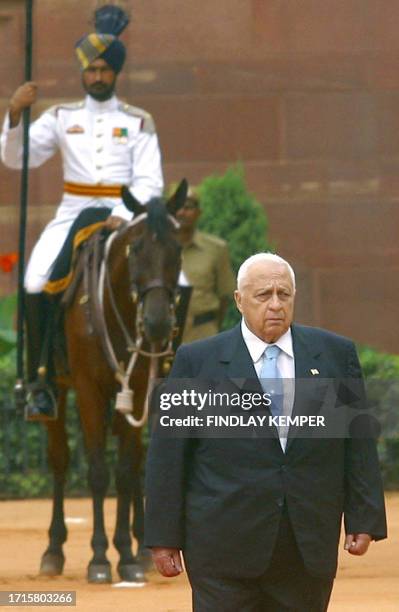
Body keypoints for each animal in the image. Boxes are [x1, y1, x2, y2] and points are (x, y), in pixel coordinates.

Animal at [41, 178, 188, 584]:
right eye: (135, 248)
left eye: (178, 249)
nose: (157, 323)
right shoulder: (88, 389)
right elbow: (97, 471)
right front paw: (99, 559)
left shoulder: (135, 389)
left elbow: (124, 470)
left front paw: (126, 556)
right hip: (57, 389)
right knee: (59, 459)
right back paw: (53, 550)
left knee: (137, 462)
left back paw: (144, 549)